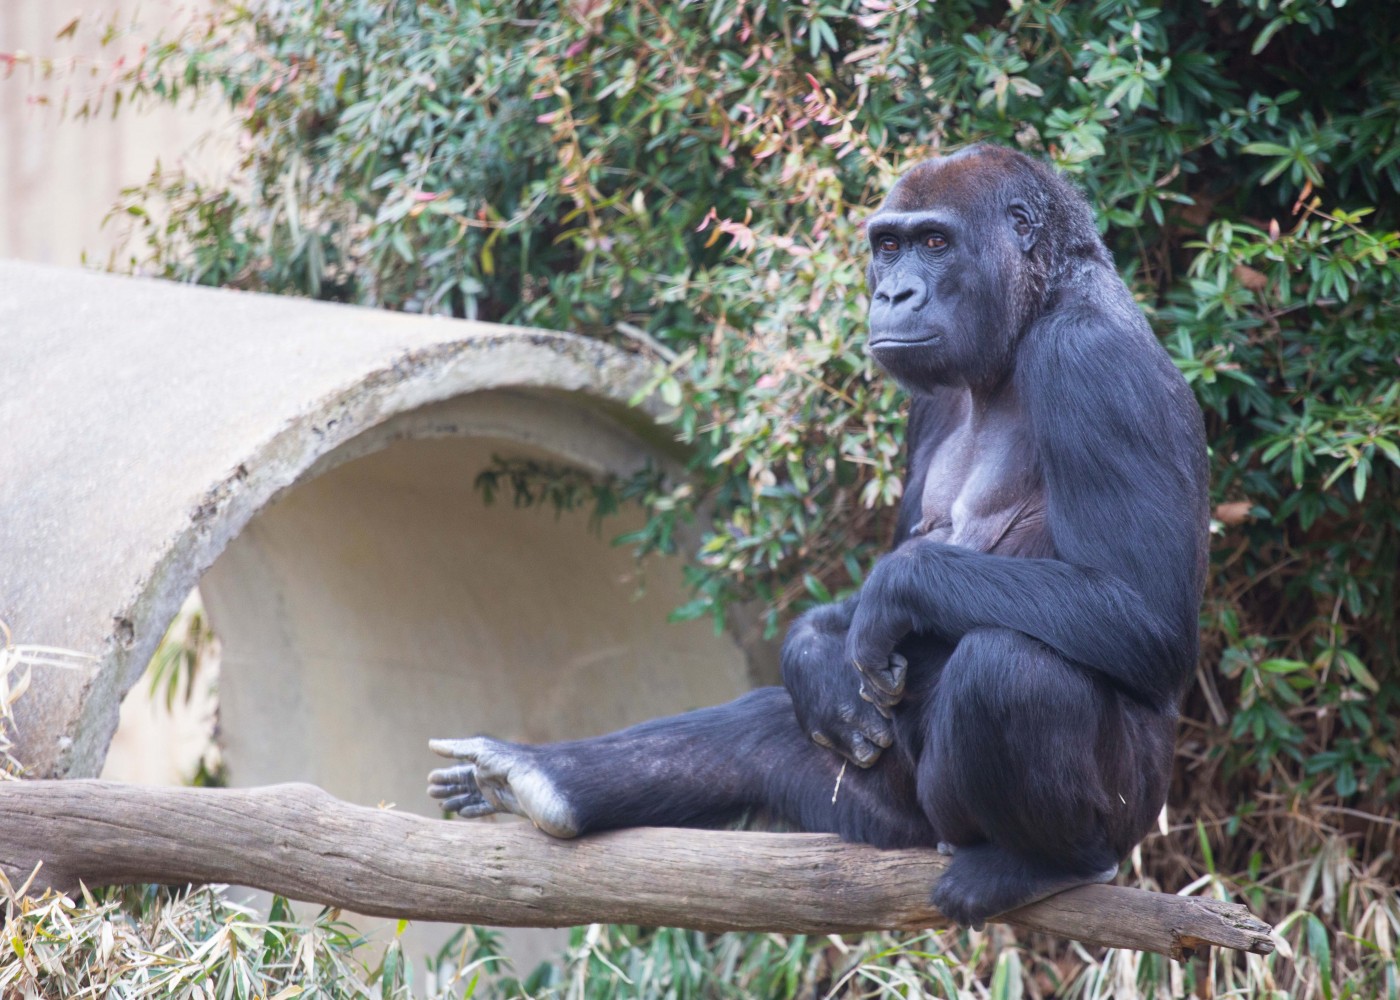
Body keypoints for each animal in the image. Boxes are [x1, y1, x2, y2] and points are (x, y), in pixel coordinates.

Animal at [431, 144, 1209, 924]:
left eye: (936, 243)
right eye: (888, 246)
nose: (893, 295)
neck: (1033, 310)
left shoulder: (1086, 360)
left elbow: (1138, 613)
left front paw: (898, 590)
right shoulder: (931, 400)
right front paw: (811, 656)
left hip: (1128, 814)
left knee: (1011, 668)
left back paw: (1044, 863)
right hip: (898, 818)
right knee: (766, 734)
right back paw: (541, 777)